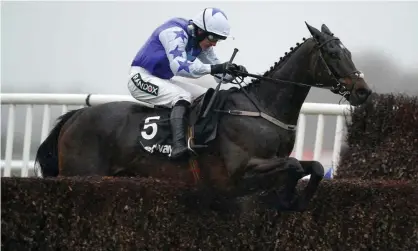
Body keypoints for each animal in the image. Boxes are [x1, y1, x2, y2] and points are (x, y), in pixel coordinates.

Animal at [34, 23, 370, 212]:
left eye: (350, 52)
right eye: (334, 54)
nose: (363, 91)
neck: (262, 109)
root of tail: (75, 117)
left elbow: (313, 166)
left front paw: (295, 200)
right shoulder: (238, 173)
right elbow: (293, 165)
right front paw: (289, 197)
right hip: (82, 175)